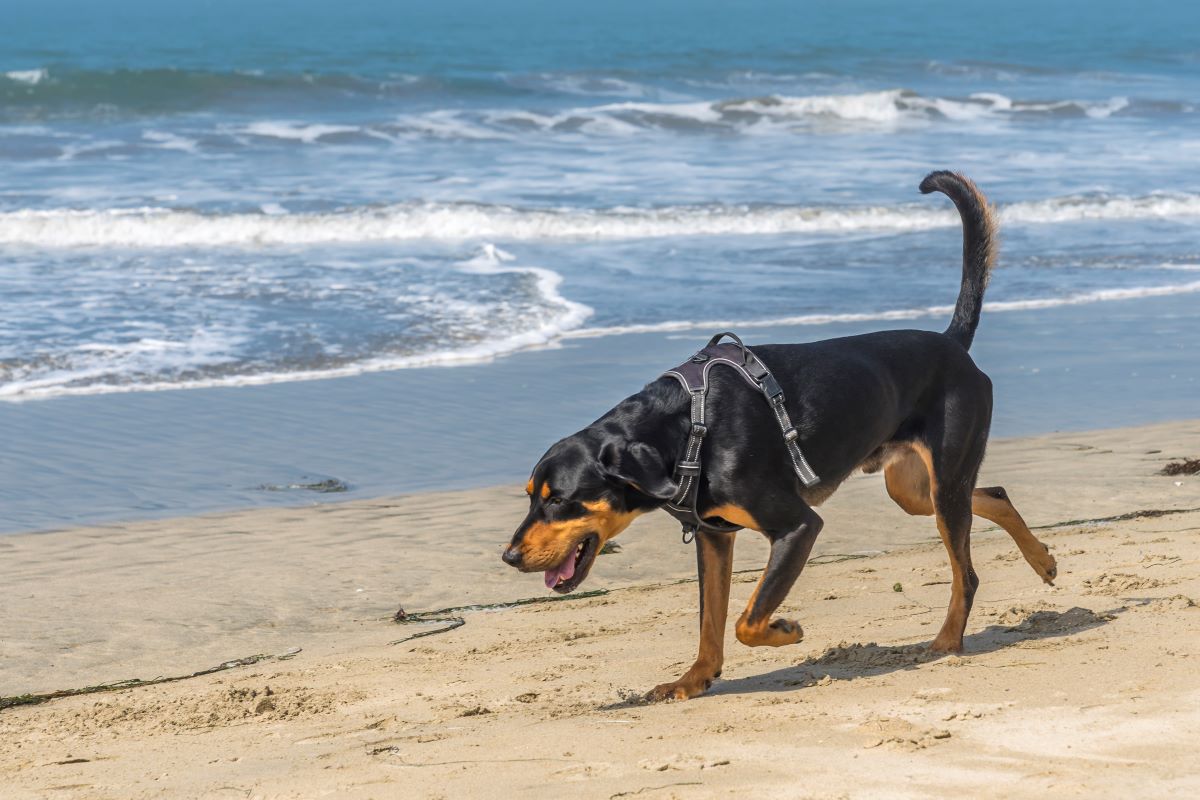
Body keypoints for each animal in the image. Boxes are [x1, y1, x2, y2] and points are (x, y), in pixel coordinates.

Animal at [501, 170, 1056, 700]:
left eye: (559, 499)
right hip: (915, 490)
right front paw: (693, 680)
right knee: (994, 494)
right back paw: (1043, 560)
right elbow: (710, 623)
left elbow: (747, 619)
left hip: (945, 483)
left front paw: (785, 631)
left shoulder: (797, 527)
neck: (684, 430)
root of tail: (952, 344)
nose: (509, 556)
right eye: (531, 496)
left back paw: (946, 642)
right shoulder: (714, 536)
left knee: (967, 573)